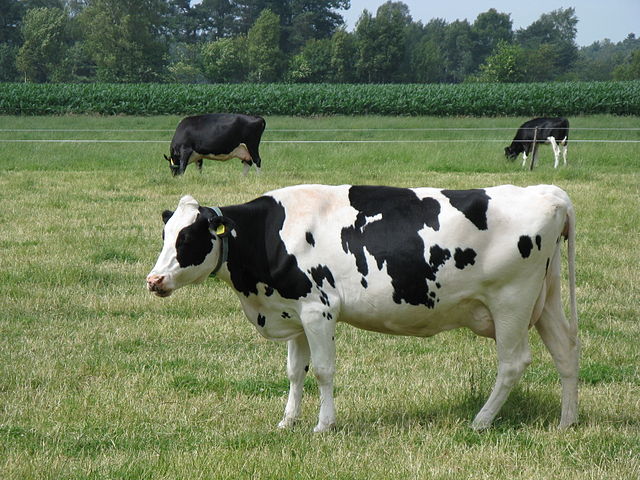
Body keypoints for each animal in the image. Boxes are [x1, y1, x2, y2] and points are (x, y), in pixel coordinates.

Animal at [146, 184, 579, 432]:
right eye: (165, 235)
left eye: (187, 239)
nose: (153, 280)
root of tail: (548, 192)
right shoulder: (294, 310)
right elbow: (294, 372)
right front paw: (287, 421)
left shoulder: (318, 309)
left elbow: (322, 370)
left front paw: (323, 425)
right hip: (546, 299)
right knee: (565, 352)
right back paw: (566, 423)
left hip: (512, 301)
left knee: (513, 363)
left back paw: (481, 421)